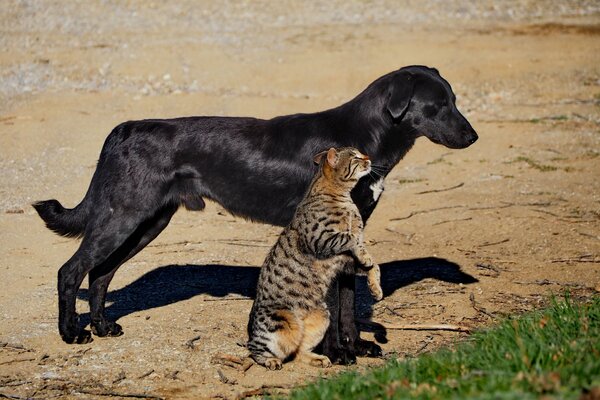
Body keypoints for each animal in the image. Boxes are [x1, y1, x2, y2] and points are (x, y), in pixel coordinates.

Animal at [246, 146, 382, 368]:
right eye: (355, 156)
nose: (368, 157)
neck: (343, 199)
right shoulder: (322, 240)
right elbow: (350, 237)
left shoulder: (345, 263)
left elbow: (372, 264)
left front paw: (376, 289)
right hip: (280, 323)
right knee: (255, 348)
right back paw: (270, 360)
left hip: (322, 316)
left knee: (297, 351)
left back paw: (319, 359)